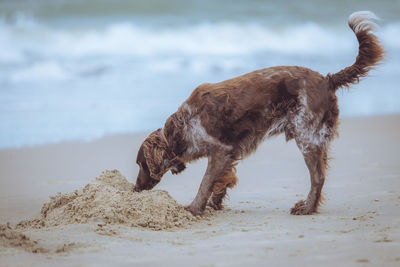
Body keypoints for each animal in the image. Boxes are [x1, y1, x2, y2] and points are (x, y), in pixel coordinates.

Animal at [134, 11, 384, 217]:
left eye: (141, 164)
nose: (136, 189)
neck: (182, 126)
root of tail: (327, 79)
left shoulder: (220, 151)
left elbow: (205, 183)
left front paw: (195, 209)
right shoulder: (229, 153)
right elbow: (222, 181)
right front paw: (215, 202)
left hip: (307, 138)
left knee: (318, 178)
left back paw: (306, 207)